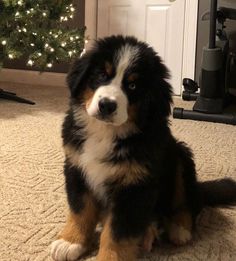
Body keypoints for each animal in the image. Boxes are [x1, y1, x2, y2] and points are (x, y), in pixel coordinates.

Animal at [50, 35, 236, 260]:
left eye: (132, 86)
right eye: (102, 75)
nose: (107, 105)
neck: (106, 132)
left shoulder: (134, 186)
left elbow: (117, 233)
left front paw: (107, 255)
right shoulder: (77, 167)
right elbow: (80, 210)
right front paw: (70, 241)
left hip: (180, 158)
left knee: (187, 202)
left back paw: (178, 228)